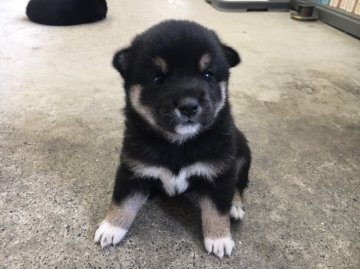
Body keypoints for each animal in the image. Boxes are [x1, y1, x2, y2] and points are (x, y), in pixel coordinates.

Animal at [94, 19, 252, 258]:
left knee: (239, 185)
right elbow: (123, 201)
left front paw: (219, 239)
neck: (178, 143)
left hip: (242, 155)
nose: (188, 106)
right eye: (158, 78)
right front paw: (111, 228)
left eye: (207, 75)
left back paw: (235, 205)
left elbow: (217, 209)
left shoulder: (219, 172)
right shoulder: (132, 169)